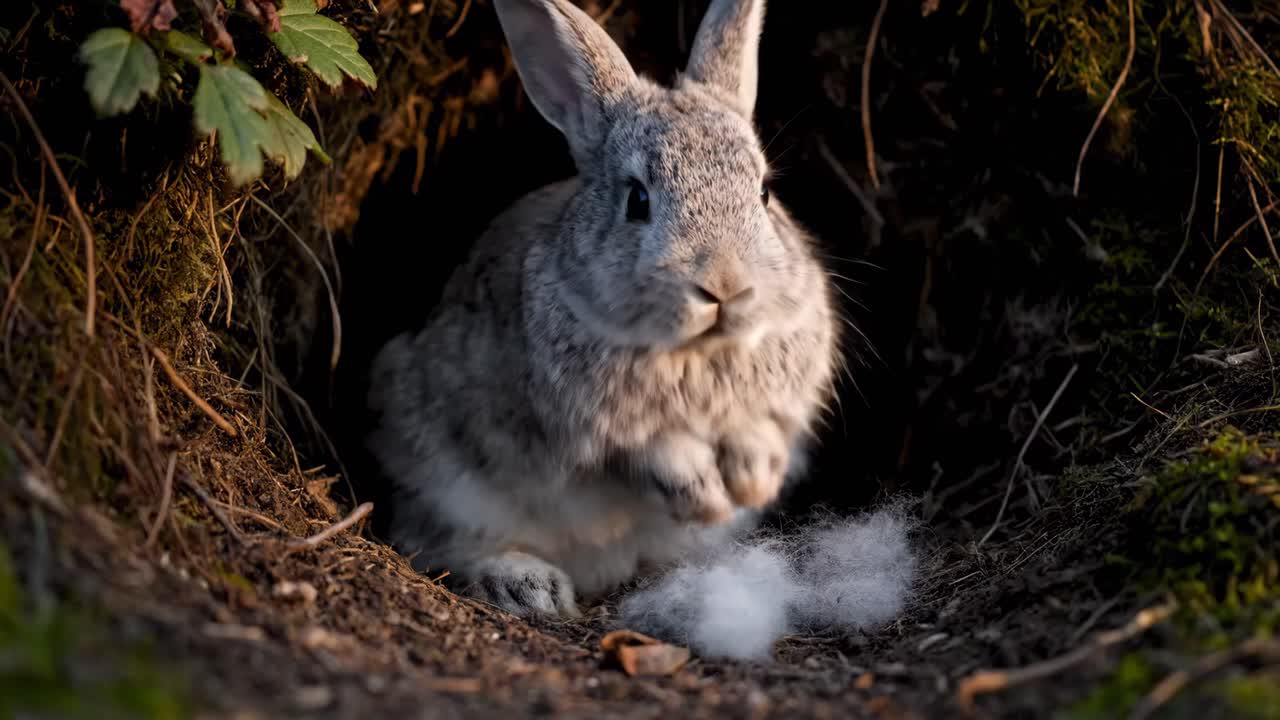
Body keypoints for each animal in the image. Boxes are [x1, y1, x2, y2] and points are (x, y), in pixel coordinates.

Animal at [366, 0, 840, 617]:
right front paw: (705, 497)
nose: (726, 286)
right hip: (438, 470)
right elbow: (649, 453)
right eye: (637, 201)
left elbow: (758, 433)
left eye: (763, 193)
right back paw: (527, 587)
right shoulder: (597, 433)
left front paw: (753, 484)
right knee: (436, 540)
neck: (696, 350)